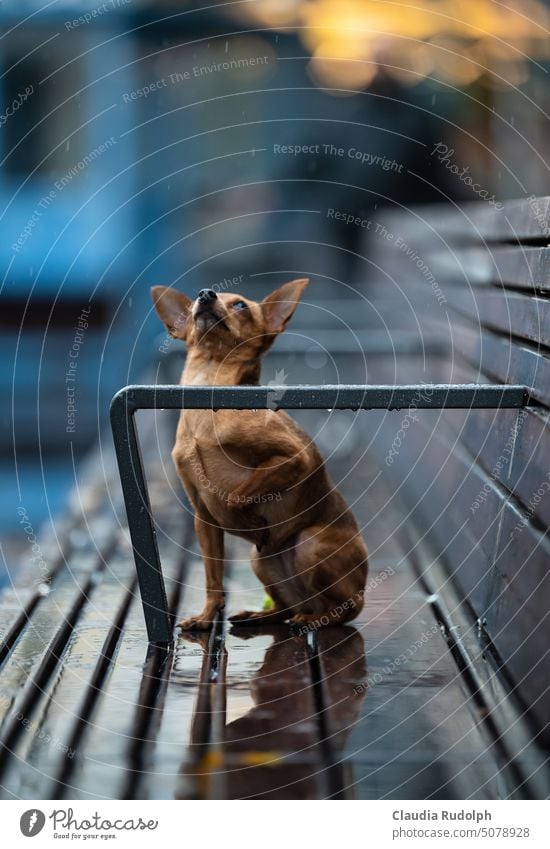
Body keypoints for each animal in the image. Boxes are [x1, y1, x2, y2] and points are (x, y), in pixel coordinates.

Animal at [151, 280, 368, 628]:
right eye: (197, 300)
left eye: (241, 305)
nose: (205, 294)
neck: (209, 386)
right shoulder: (204, 519)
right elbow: (213, 577)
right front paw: (206, 616)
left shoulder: (295, 458)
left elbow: (237, 495)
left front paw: (251, 522)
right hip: (261, 560)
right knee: (284, 608)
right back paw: (260, 615)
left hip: (310, 545)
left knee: (344, 610)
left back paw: (316, 619)